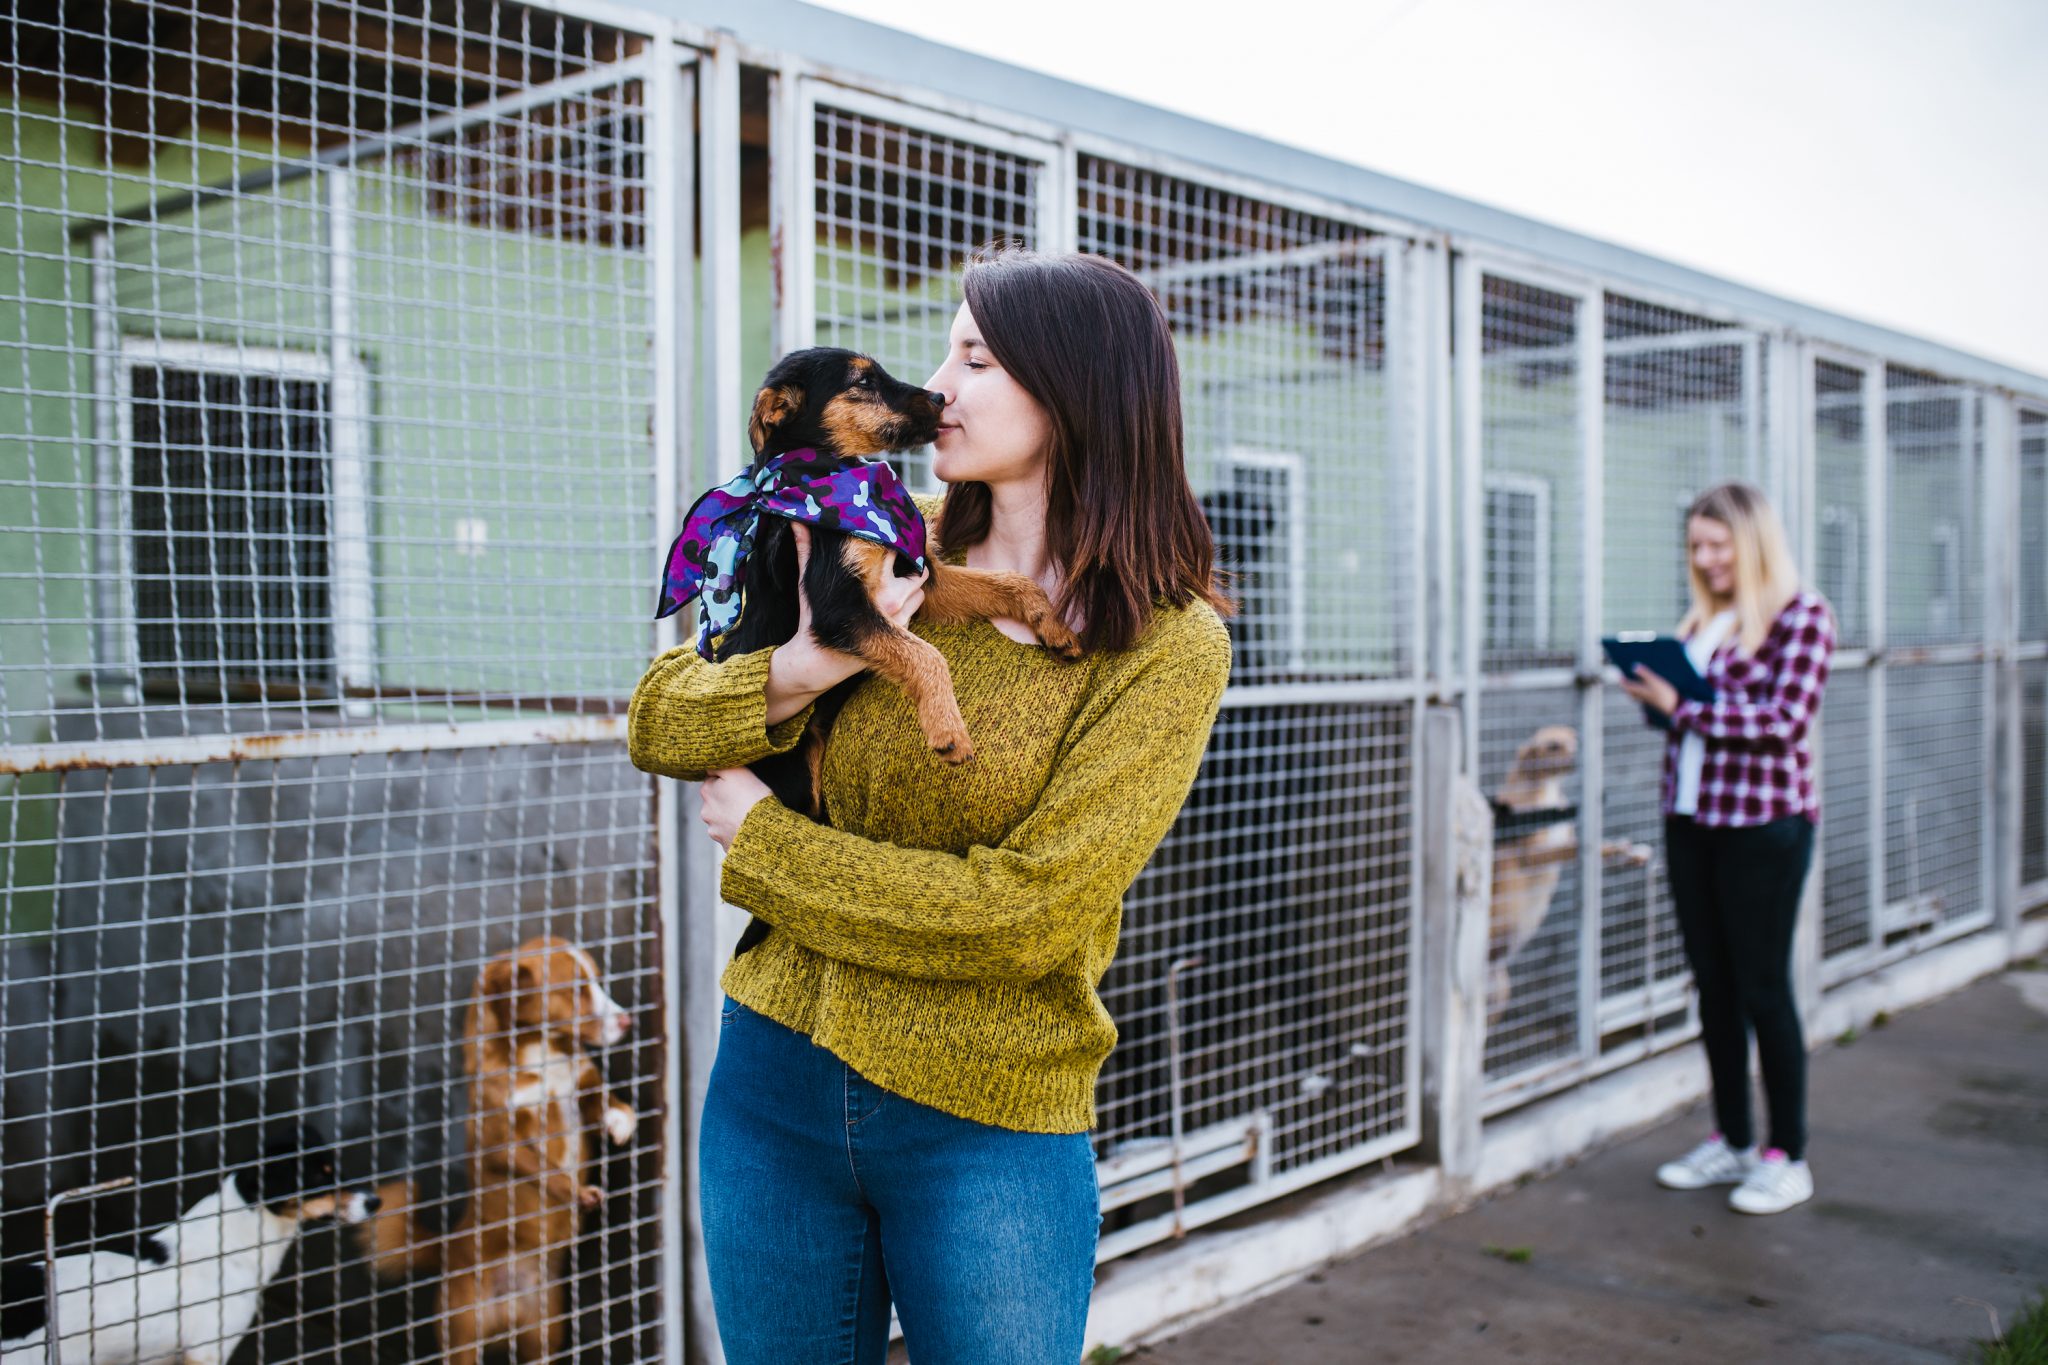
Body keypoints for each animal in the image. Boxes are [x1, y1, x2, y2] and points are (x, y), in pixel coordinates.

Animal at [356, 941, 634, 1365]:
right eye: (575, 990)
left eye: (597, 983)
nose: (627, 1021)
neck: (542, 1055)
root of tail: (447, 1249)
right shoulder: (502, 1145)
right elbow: (544, 1169)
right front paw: (576, 1193)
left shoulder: (581, 1082)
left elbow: (603, 1098)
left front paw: (620, 1120)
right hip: (463, 1334)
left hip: (545, 1332)